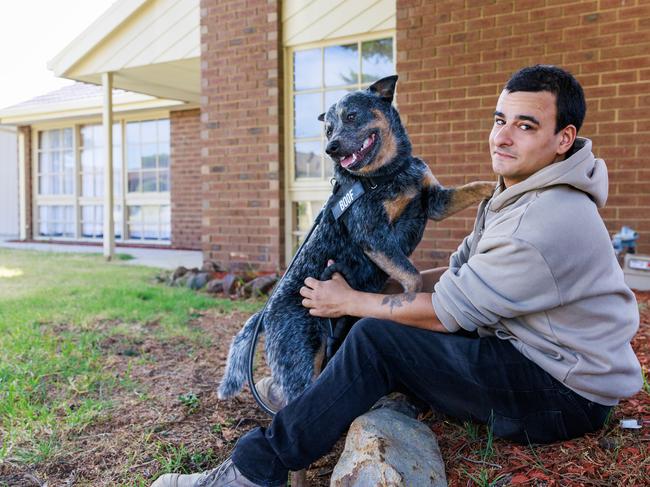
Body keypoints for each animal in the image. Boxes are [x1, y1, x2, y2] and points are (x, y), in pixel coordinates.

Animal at [218, 73, 492, 408]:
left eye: (351, 116)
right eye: (328, 128)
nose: (331, 148)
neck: (389, 173)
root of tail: (264, 313)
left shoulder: (434, 201)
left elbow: (474, 186)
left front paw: (499, 185)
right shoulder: (372, 233)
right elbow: (412, 276)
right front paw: (407, 301)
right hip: (302, 352)